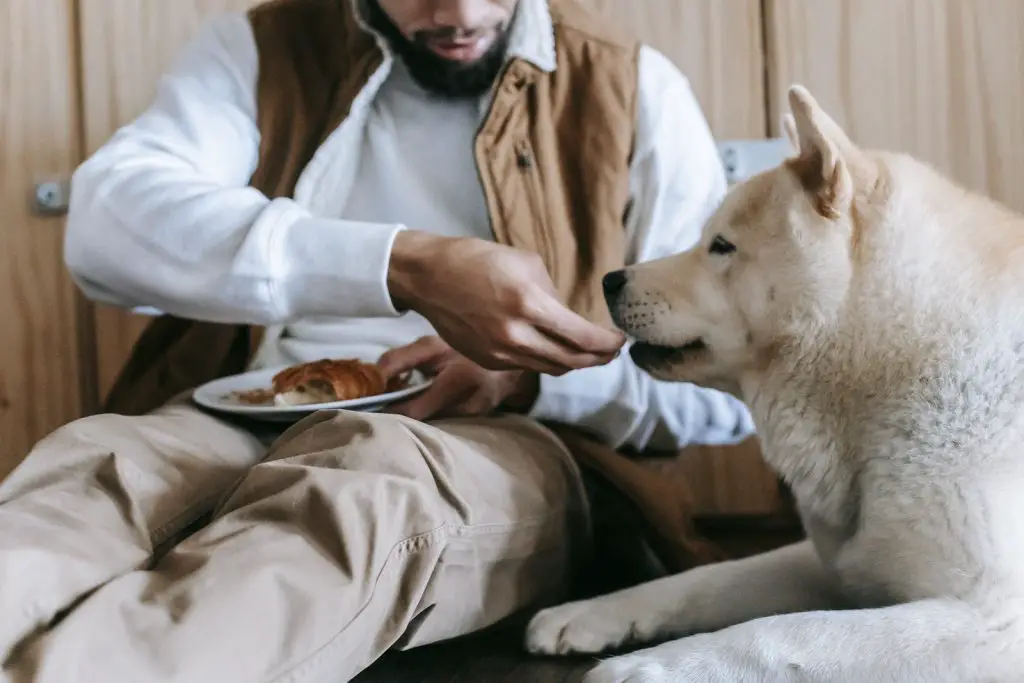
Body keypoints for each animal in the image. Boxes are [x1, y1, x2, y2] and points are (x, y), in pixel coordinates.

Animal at [524, 82, 1024, 679]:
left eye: (721, 246)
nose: (608, 280)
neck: (905, 357)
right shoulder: (833, 562)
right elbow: (703, 580)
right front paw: (588, 611)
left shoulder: (994, 621)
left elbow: (782, 634)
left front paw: (648, 667)